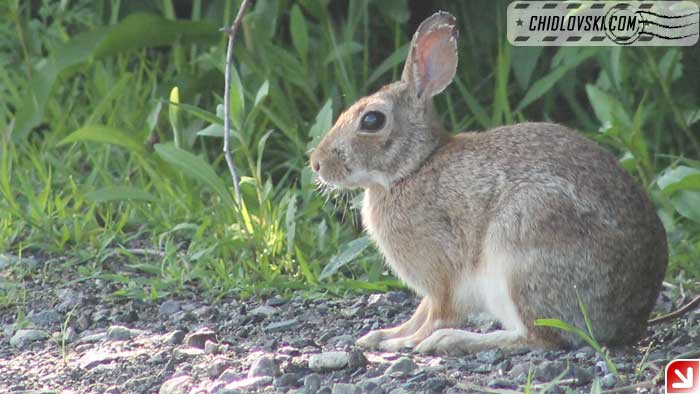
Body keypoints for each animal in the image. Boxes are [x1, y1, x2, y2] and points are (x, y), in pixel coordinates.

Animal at [308, 11, 664, 354]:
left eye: (371, 120)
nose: (317, 163)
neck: (413, 167)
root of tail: (629, 317)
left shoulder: (442, 278)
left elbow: (436, 316)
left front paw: (402, 343)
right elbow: (419, 314)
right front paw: (380, 336)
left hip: (520, 252)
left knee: (542, 338)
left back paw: (451, 341)